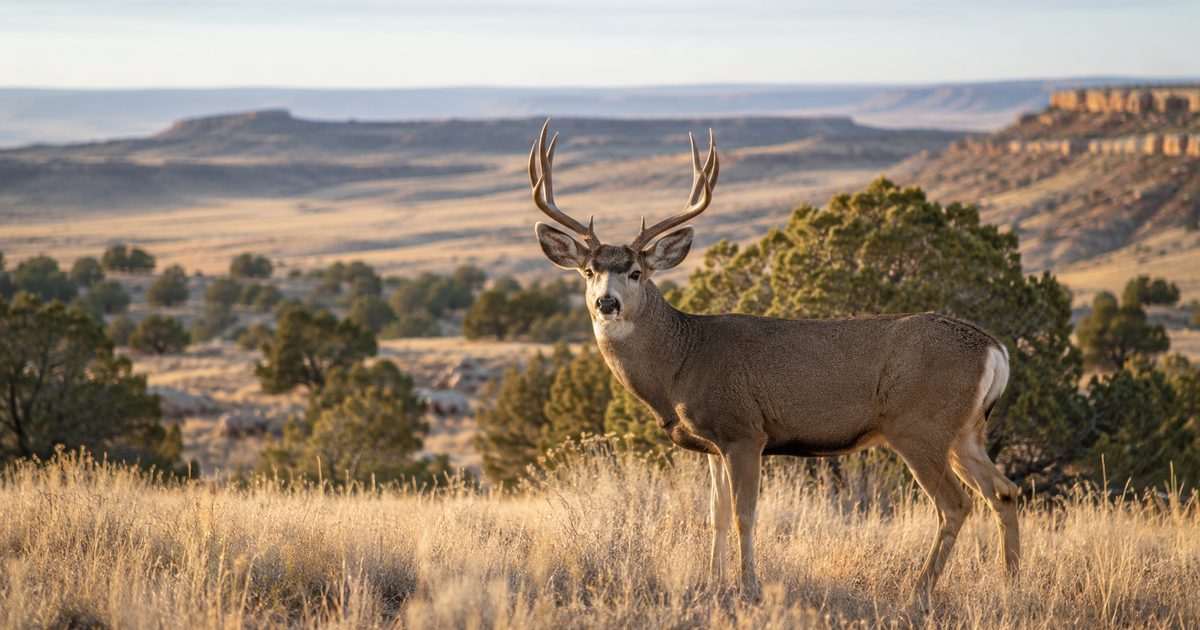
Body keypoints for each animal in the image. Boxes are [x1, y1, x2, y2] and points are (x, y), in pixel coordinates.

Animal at [526, 119, 1020, 604]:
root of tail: (994, 349)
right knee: (1004, 491)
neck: (682, 362)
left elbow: (745, 515)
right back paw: (1008, 586)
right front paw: (713, 585)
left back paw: (917, 593)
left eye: (636, 272)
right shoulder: (713, 443)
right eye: (588, 271)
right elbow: (715, 515)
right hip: (965, 431)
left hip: (919, 426)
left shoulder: (745, 431)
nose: (607, 302)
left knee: (956, 503)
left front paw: (749, 588)